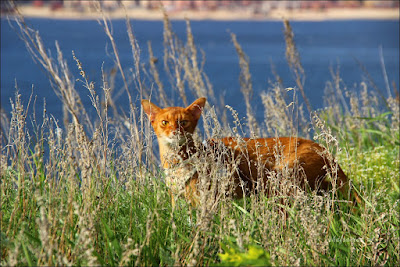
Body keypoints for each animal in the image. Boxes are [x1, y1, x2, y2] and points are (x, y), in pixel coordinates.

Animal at [142, 97, 360, 206]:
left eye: (184, 122)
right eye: (164, 122)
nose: (175, 131)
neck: (177, 162)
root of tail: (322, 147)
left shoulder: (207, 200)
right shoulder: (178, 199)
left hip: (283, 178)